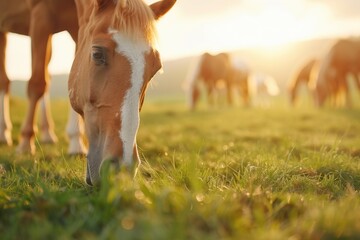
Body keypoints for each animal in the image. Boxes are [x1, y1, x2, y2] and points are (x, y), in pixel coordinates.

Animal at [0, 0, 86, 154]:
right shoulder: (40, 15)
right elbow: (37, 83)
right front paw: (26, 141)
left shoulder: (78, 24)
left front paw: (77, 143)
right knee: (4, 81)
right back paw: (4, 134)